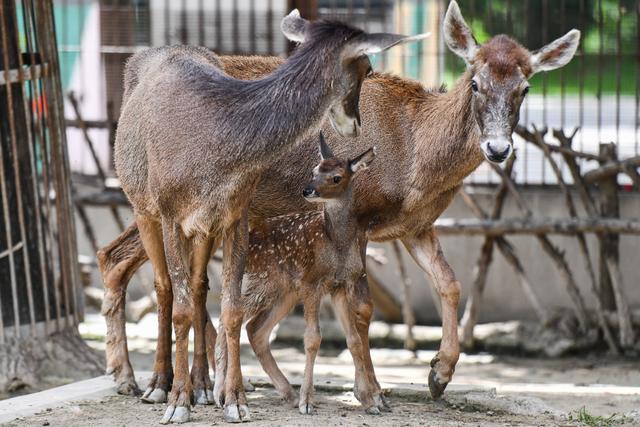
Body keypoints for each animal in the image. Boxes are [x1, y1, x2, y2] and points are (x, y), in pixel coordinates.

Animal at [215, 133, 380, 414]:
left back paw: (287, 394)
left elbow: (354, 340)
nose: (307, 190)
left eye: (337, 177)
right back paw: (220, 394)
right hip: (259, 283)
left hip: (285, 291)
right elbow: (312, 339)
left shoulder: (340, 285)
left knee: (256, 330)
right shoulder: (312, 282)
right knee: (226, 319)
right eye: (314, 170)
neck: (337, 244)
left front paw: (370, 403)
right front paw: (307, 401)